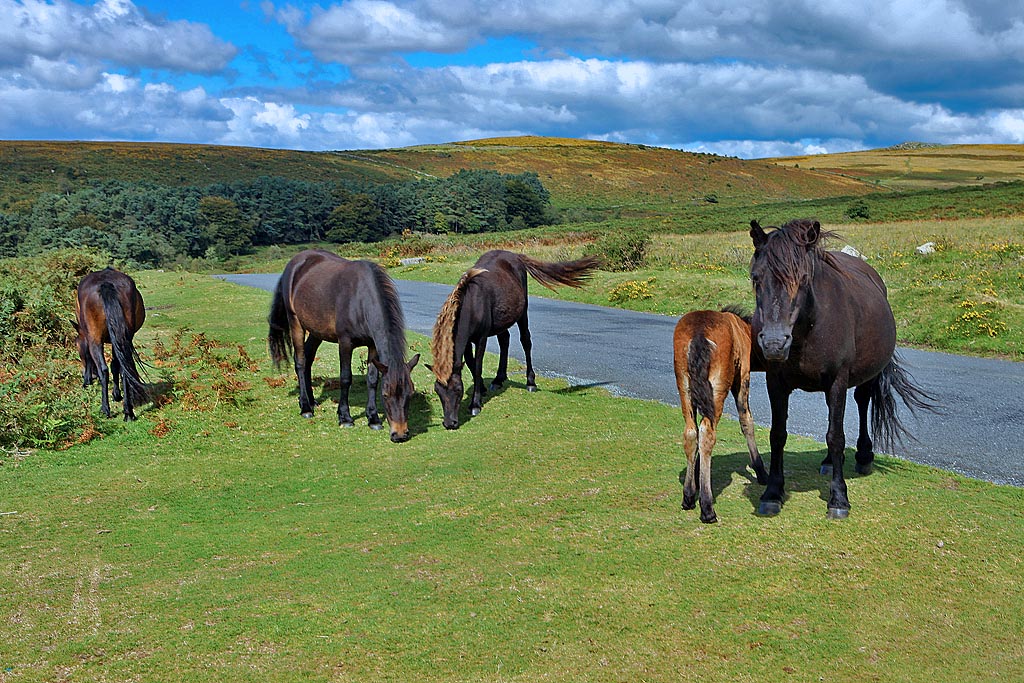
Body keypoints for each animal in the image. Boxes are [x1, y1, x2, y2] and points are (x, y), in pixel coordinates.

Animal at [74, 268, 148, 421]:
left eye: (77, 346)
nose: (90, 377)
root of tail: (106, 284)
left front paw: (87, 381)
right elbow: (116, 366)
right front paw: (117, 394)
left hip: (95, 339)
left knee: (103, 369)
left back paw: (105, 409)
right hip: (124, 337)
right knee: (124, 369)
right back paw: (128, 412)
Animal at [270, 249, 421, 444]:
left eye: (410, 394)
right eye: (386, 394)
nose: (400, 434)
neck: (360, 300)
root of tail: (296, 262)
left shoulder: (372, 345)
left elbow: (372, 380)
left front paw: (373, 418)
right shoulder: (345, 343)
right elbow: (345, 378)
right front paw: (345, 417)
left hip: (316, 331)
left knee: (309, 358)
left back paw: (312, 401)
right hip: (296, 323)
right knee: (301, 362)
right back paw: (305, 407)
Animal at [425, 248, 598, 430]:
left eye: (458, 389)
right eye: (437, 391)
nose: (449, 423)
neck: (471, 303)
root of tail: (515, 256)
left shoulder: (481, 339)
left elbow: (478, 366)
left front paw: (475, 404)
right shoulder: (465, 342)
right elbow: (471, 365)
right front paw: (483, 388)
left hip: (523, 313)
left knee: (526, 341)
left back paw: (530, 382)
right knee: (505, 340)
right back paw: (498, 379)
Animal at [671, 305, 770, 524]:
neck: (744, 329)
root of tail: (698, 334)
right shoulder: (742, 376)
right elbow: (746, 421)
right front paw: (761, 471)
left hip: (684, 384)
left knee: (691, 432)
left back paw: (688, 496)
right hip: (718, 386)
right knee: (707, 432)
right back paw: (707, 508)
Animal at [745, 219, 937, 518]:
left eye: (803, 279)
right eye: (756, 278)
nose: (775, 344)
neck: (808, 327)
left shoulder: (837, 380)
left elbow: (835, 436)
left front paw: (838, 498)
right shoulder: (775, 381)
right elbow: (778, 435)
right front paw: (773, 492)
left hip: (865, 376)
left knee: (861, 402)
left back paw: (864, 456)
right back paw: (826, 461)